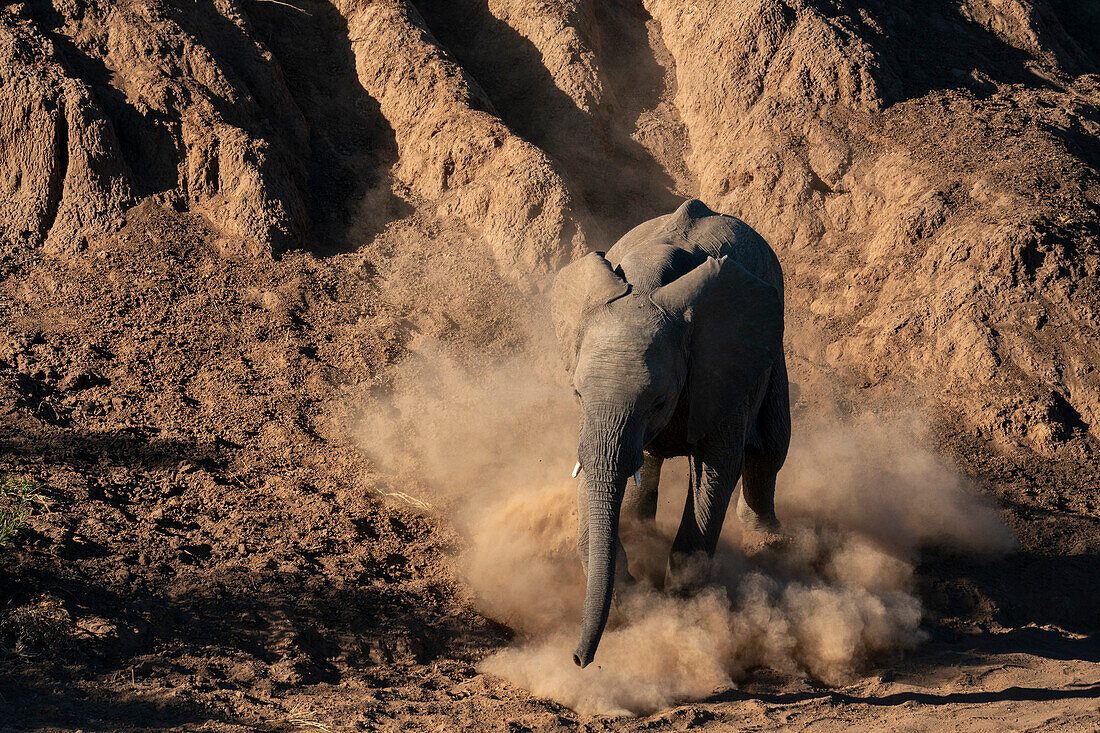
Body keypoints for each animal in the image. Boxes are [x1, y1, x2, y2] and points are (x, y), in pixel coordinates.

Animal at [550, 197, 792, 664]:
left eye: (659, 401)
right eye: (577, 393)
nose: (578, 659)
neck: (648, 283)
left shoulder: (721, 368)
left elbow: (717, 469)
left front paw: (686, 611)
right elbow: (594, 470)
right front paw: (633, 589)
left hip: (771, 351)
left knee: (770, 448)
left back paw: (767, 540)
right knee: (647, 460)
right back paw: (639, 526)